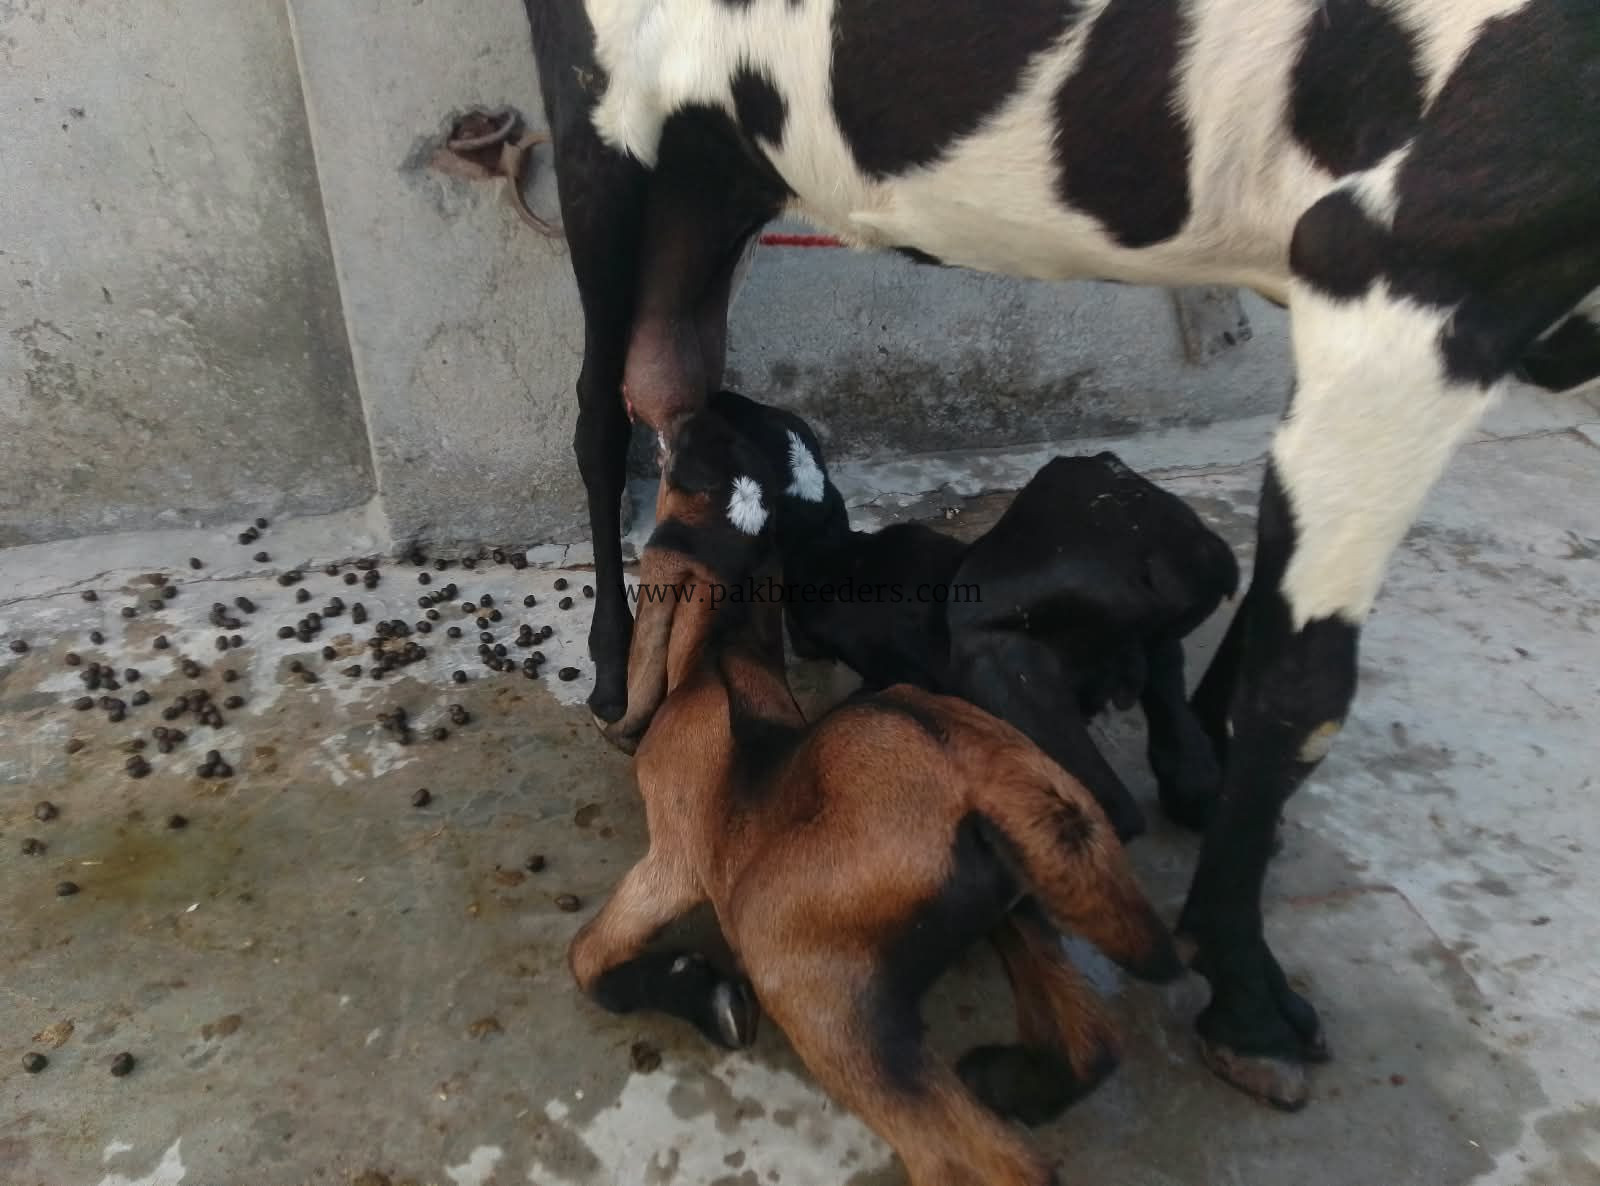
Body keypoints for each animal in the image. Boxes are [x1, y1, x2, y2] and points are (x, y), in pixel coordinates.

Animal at [572, 406, 1182, 1186]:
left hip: (808, 973)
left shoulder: (675, 859)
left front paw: (706, 997)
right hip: (1015, 898)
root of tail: (983, 779)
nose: (687, 411)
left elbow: (589, 958)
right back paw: (1010, 1080)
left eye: (680, 470)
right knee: (1089, 1042)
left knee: (972, 1158)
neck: (719, 659)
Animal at [708, 388, 1239, 843]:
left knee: (1111, 808)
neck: (836, 552)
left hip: (996, 654)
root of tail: (1191, 554)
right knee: (1189, 761)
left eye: (740, 433)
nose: (718, 395)